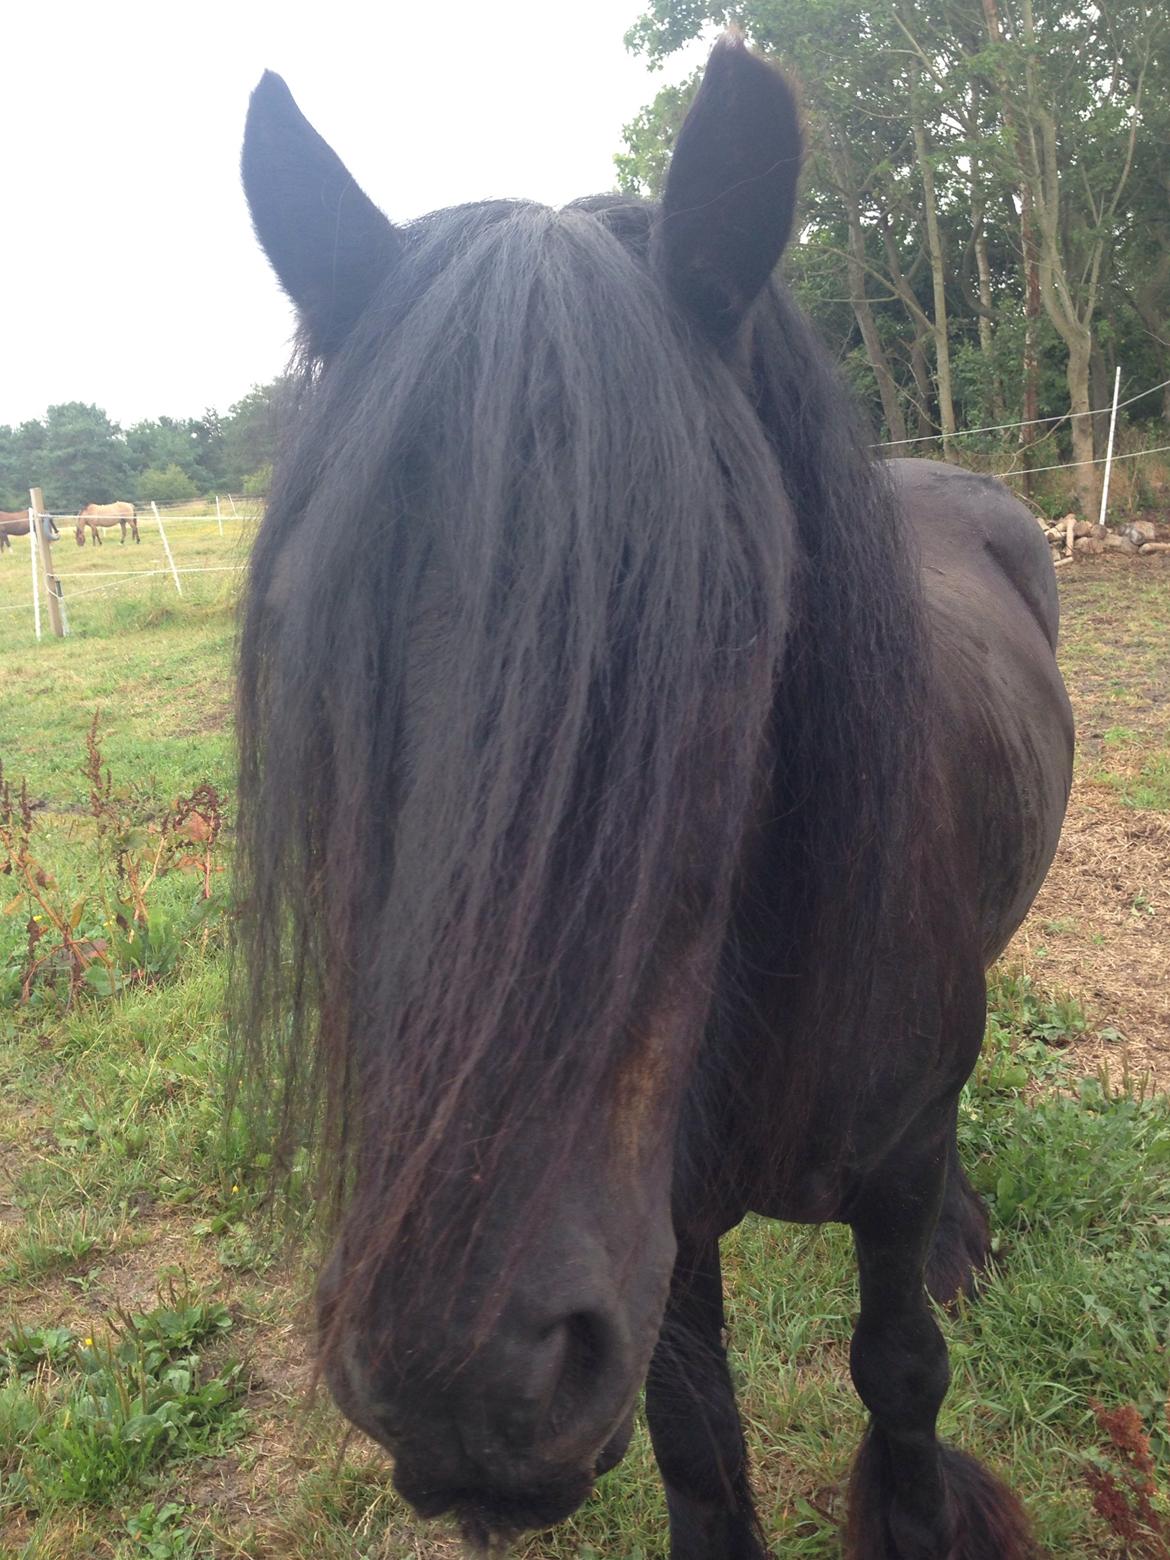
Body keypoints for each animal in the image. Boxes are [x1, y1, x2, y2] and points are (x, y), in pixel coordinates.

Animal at [234, 37, 1073, 1559]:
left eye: (732, 630)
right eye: (304, 633)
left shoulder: (888, 1159)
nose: (459, 1375)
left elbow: (901, 1373)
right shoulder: (658, 1238)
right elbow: (699, 1445)